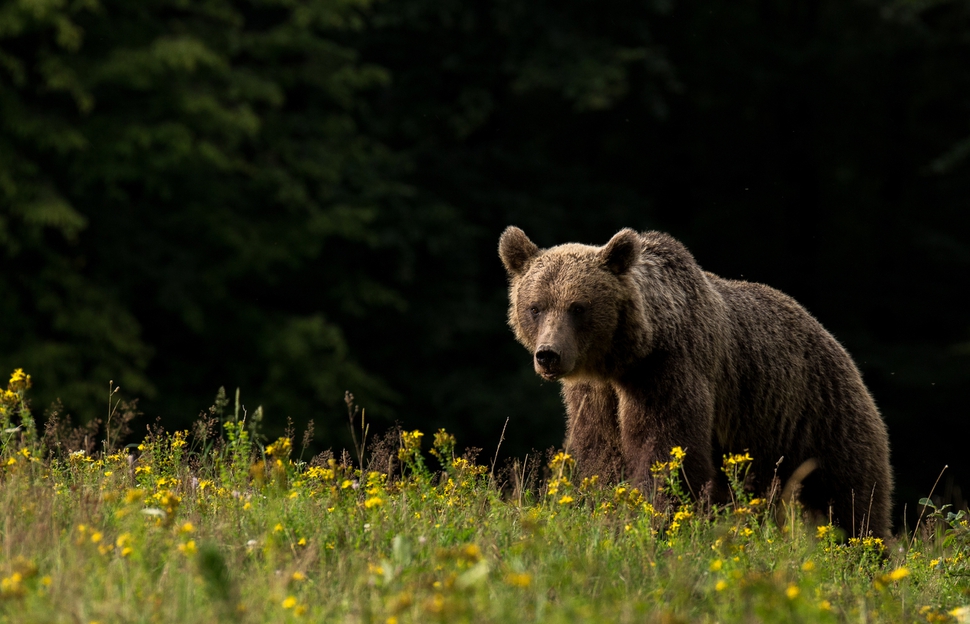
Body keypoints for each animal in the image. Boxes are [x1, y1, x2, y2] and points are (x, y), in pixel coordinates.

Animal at [500, 227, 892, 540]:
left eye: (578, 307)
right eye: (535, 306)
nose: (549, 355)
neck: (626, 358)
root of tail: (832, 339)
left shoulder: (669, 372)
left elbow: (667, 451)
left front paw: (657, 520)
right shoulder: (595, 395)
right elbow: (601, 454)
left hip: (817, 416)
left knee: (850, 496)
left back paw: (863, 550)